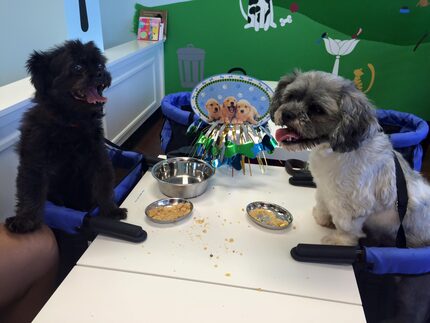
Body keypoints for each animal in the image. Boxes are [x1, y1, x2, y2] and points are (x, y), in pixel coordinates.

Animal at [5, 40, 127, 234]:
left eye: (100, 65)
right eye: (77, 67)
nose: (101, 73)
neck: (70, 125)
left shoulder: (98, 158)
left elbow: (103, 185)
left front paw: (110, 211)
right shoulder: (34, 164)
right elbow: (30, 193)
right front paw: (25, 220)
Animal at [268, 71, 430, 248]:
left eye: (317, 109)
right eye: (290, 96)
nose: (287, 113)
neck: (332, 152)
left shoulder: (354, 204)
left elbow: (347, 227)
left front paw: (339, 241)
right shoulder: (324, 188)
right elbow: (322, 203)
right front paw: (322, 218)